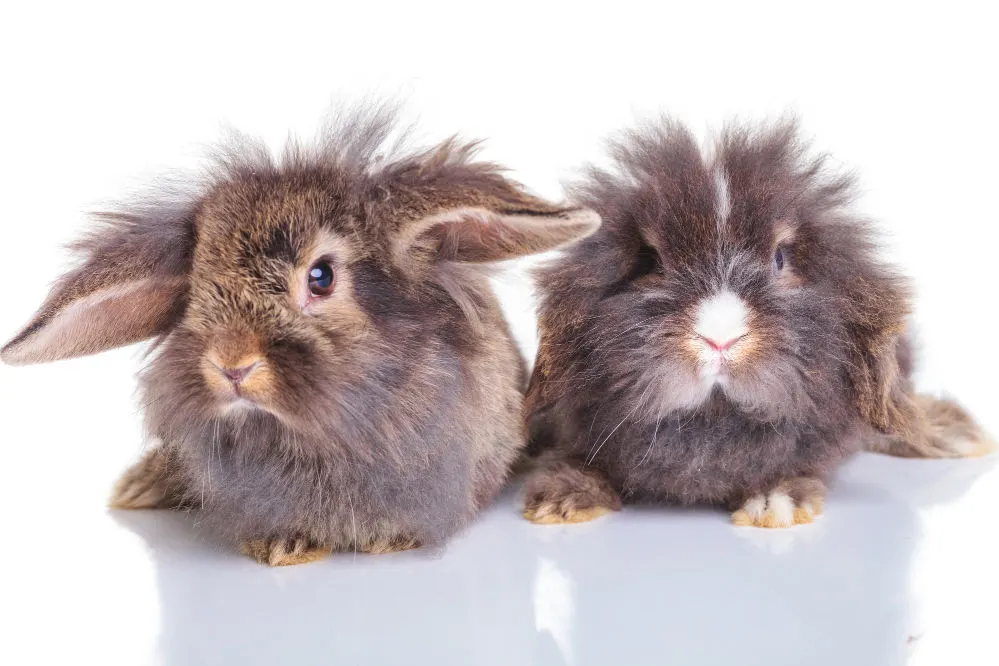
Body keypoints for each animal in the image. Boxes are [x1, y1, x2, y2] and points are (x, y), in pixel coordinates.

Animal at [528, 116, 996, 528]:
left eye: (781, 258)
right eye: (651, 262)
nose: (720, 338)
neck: (713, 420)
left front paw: (774, 505)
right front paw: (563, 501)